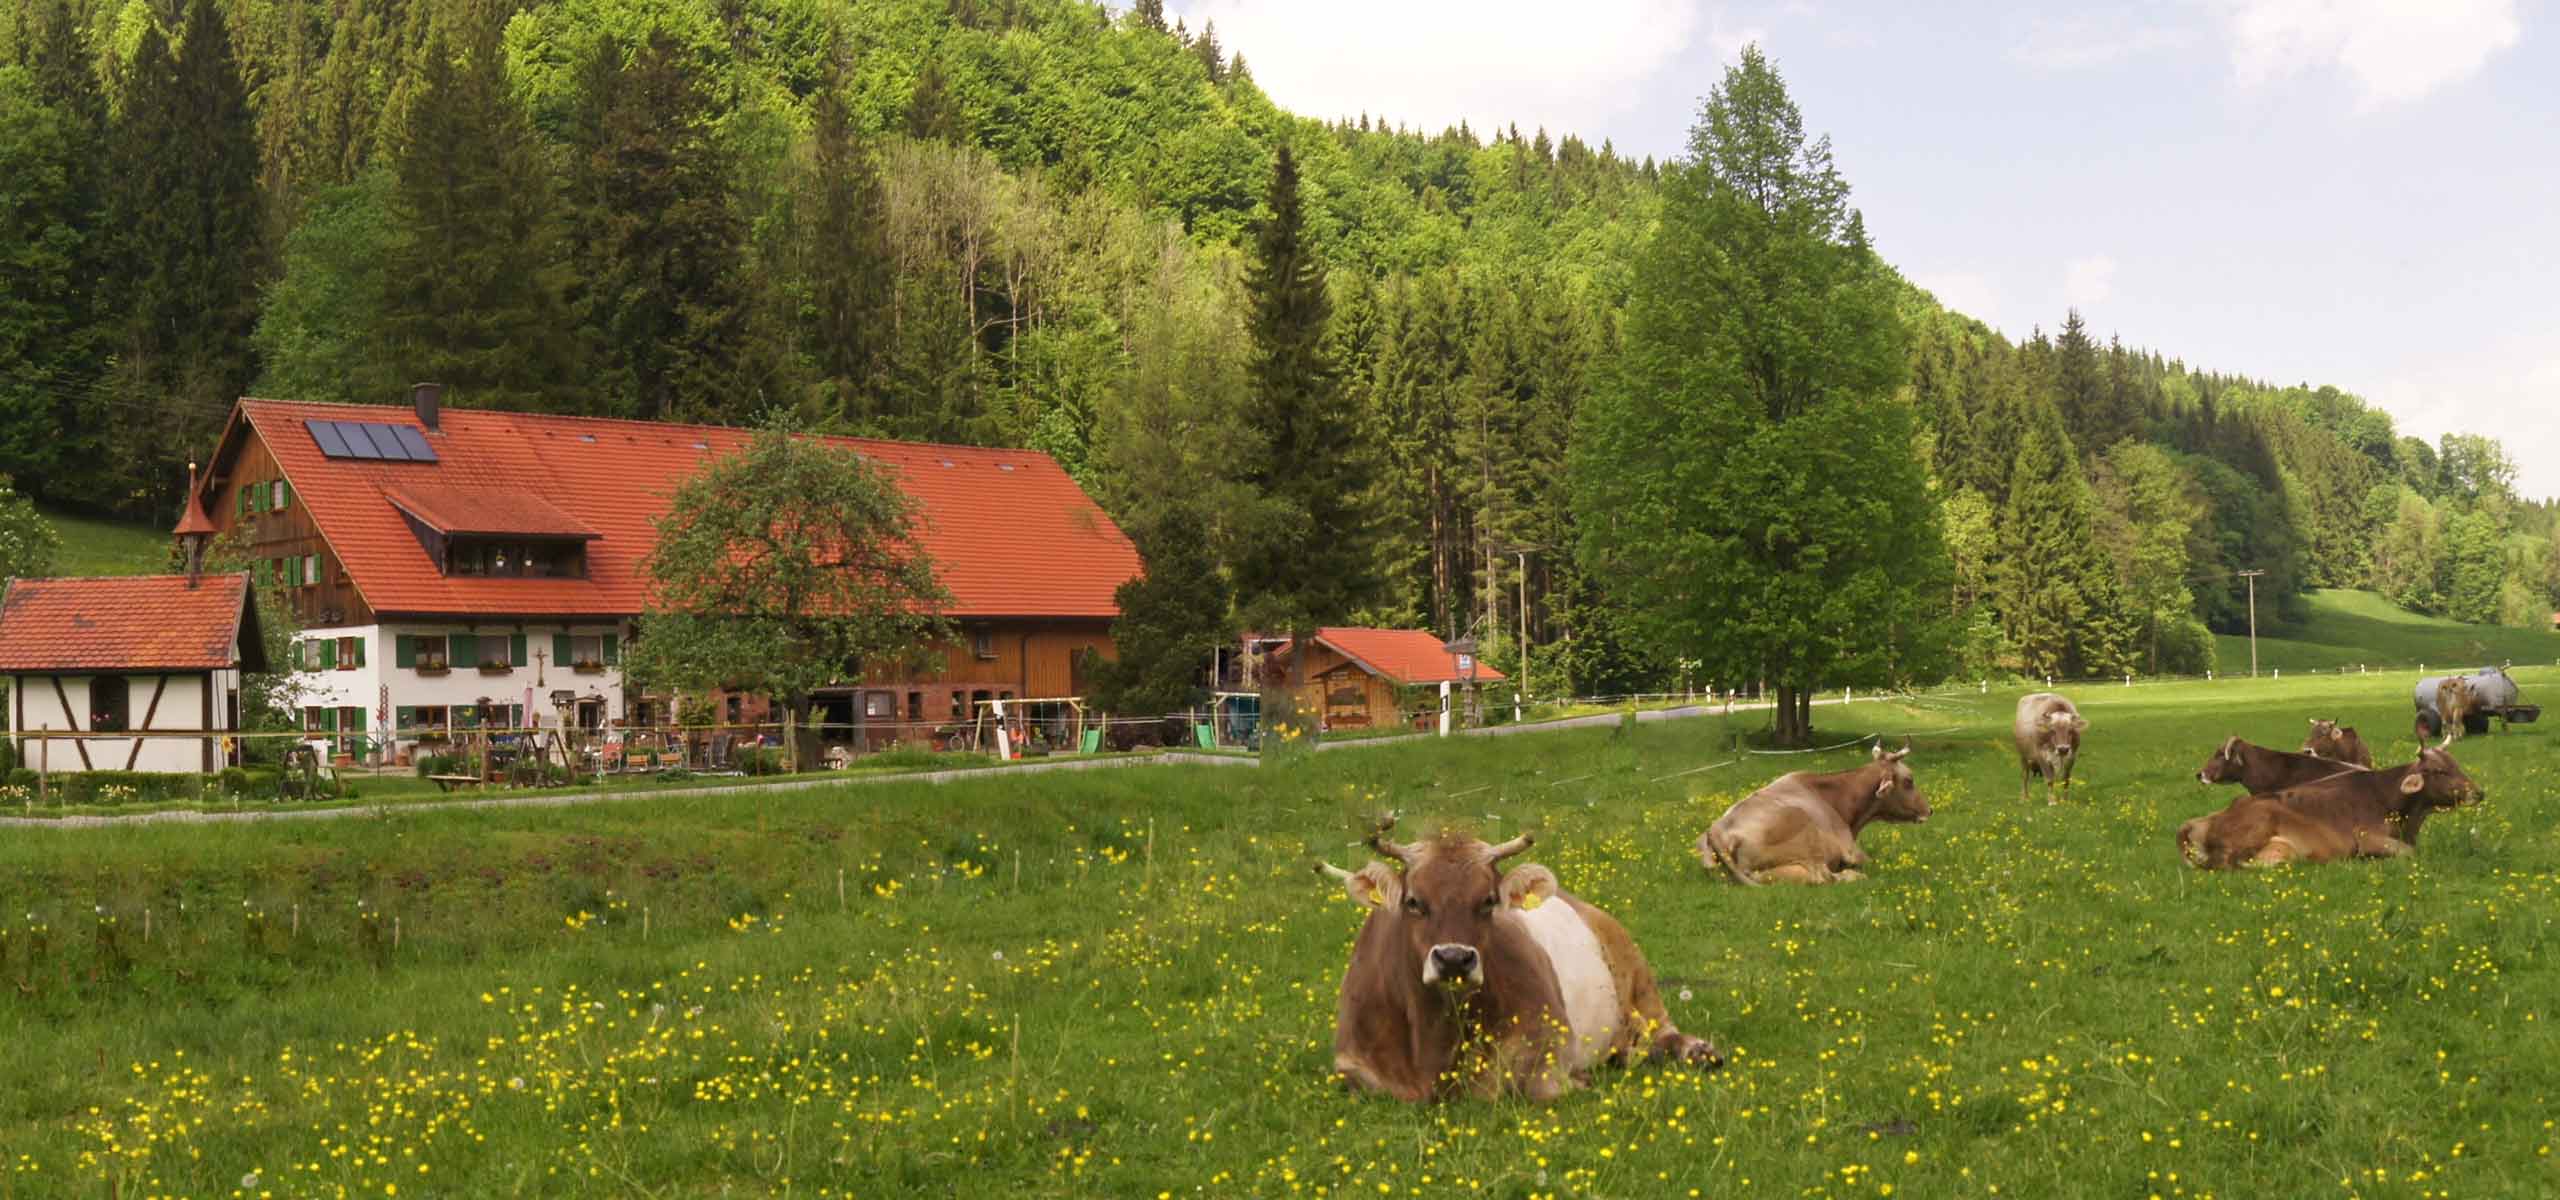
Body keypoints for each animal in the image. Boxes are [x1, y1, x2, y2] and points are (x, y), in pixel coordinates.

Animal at [1319, 822, 1722, 1102]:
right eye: (1413, 901)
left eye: (1488, 900)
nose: (1454, 959)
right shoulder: (1349, 1064)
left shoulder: (1548, 1045)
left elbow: (1539, 1087)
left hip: (1637, 978)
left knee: (1663, 1032)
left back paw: (1699, 1052)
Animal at [1698, 741, 1928, 885]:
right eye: (1909, 781)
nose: (1930, 810)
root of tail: (1716, 830)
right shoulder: (1851, 850)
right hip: (1805, 831)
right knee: (1823, 877)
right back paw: (1852, 876)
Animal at [2175, 746, 2482, 869]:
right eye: (2439, 771)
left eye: (2456, 765)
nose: (2478, 793)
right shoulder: (2366, 839)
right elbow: (2409, 853)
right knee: (2223, 865)